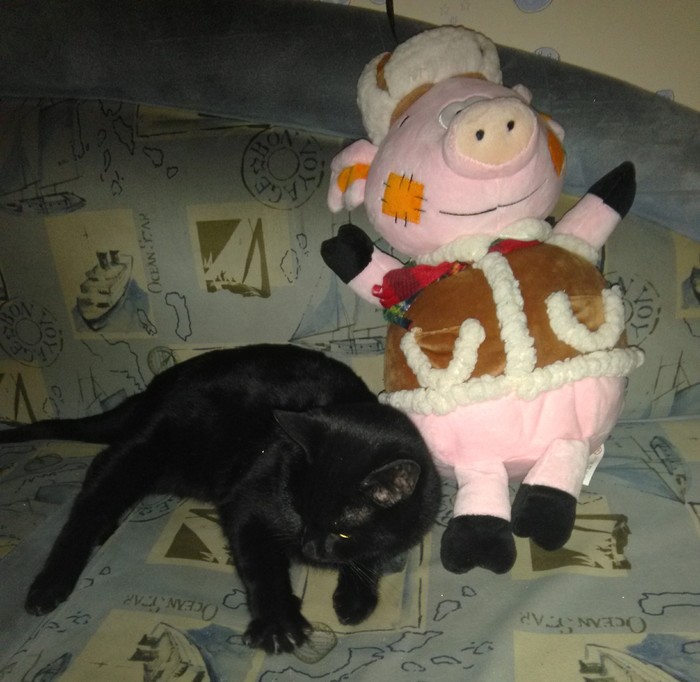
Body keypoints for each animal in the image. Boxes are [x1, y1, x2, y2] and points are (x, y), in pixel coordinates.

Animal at [0, 344, 441, 654]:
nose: (307, 547)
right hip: (142, 450)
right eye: (298, 513)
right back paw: (50, 585)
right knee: (89, 502)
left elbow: (375, 554)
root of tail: (155, 387)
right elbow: (262, 565)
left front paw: (355, 597)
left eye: (341, 531)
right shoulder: (249, 504)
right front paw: (279, 624)